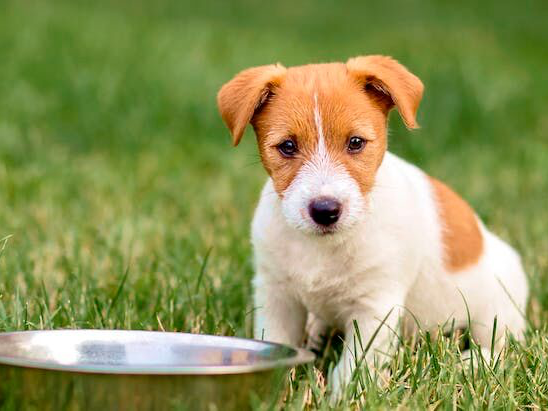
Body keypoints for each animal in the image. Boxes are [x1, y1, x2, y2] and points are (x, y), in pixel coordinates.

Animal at [216, 55, 528, 396]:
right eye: (287, 146)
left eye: (355, 143)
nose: (325, 210)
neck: (323, 247)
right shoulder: (277, 296)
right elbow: (277, 343)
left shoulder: (375, 307)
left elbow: (354, 367)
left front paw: (340, 397)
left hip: (497, 311)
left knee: (502, 348)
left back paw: (470, 362)